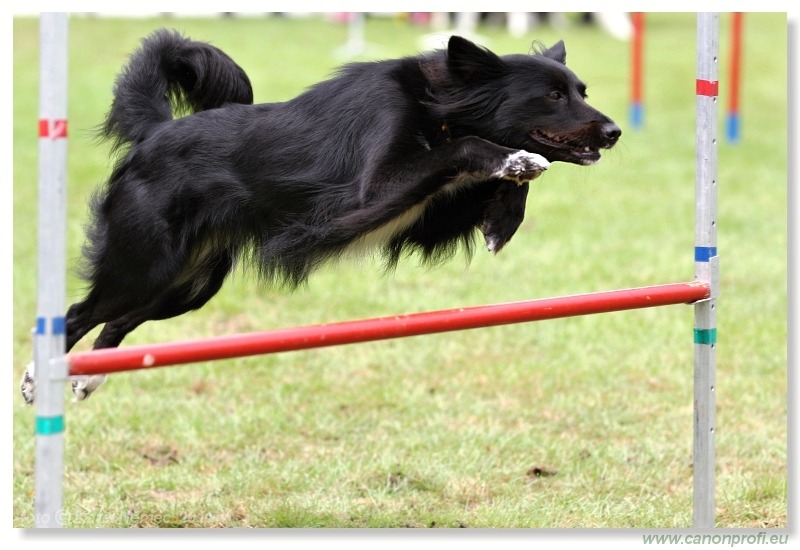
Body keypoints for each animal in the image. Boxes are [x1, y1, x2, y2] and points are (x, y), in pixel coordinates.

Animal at [20, 30, 620, 404]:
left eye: (580, 91)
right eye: (552, 96)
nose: (615, 131)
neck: (439, 104)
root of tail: (155, 132)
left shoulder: (419, 215)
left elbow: (488, 181)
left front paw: (506, 211)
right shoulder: (368, 195)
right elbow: (468, 148)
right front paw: (516, 163)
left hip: (189, 284)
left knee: (118, 321)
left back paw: (88, 382)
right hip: (146, 262)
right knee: (78, 312)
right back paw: (34, 380)